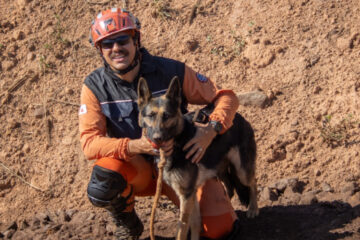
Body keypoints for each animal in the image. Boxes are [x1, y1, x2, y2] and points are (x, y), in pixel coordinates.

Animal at [136, 76, 258, 240]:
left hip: (241, 170)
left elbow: (182, 228)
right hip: (220, 169)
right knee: (230, 187)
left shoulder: (186, 195)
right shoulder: (190, 194)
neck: (178, 143)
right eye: (150, 115)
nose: (157, 138)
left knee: (252, 182)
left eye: (167, 116)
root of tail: (240, 117)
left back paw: (253, 208)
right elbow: (195, 223)